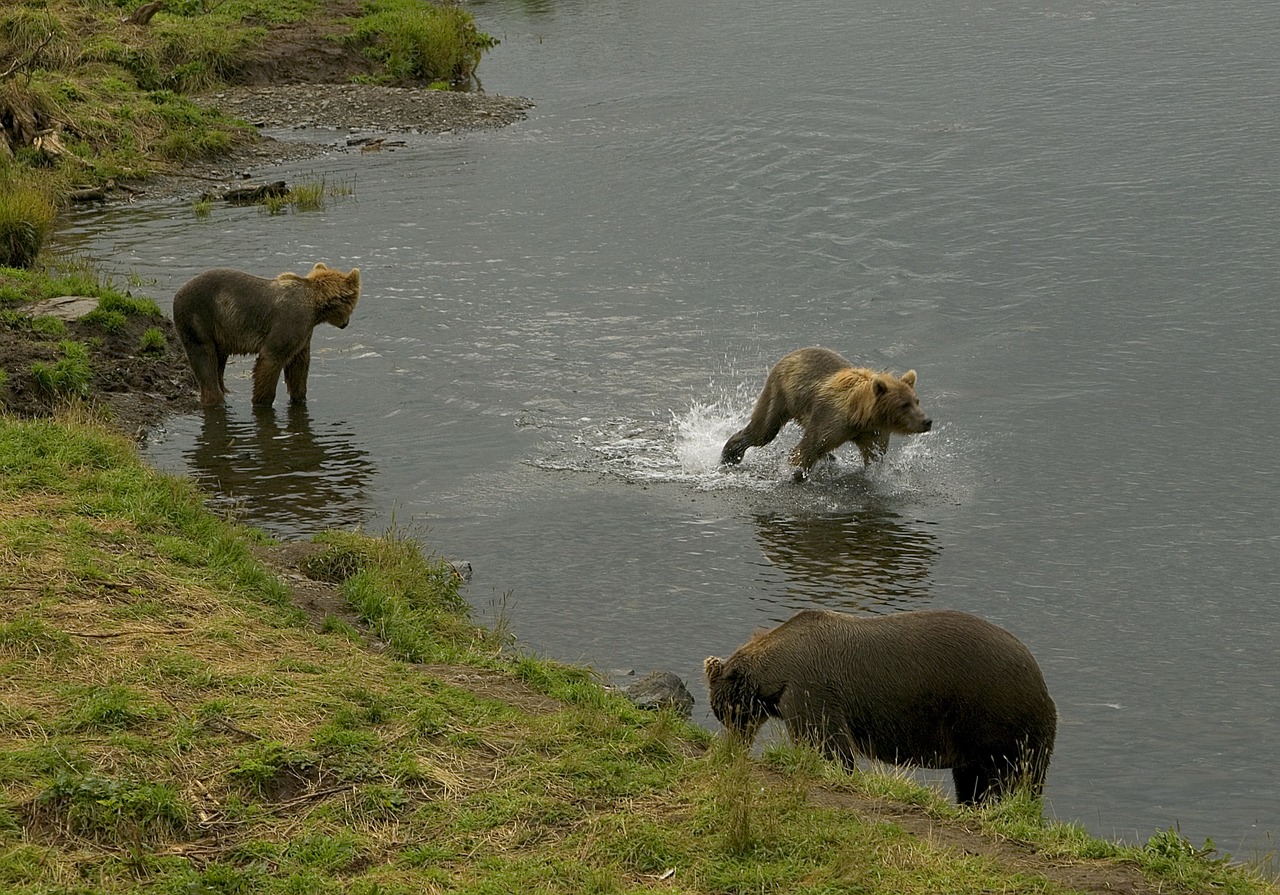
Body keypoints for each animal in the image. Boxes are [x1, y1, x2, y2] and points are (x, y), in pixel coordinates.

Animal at [172, 263, 363, 407]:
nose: (346, 323)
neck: (316, 309)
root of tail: (177, 293)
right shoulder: (290, 321)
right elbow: (271, 359)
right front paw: (261, 401)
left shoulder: (304, 333)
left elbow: (298, 366)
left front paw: (300, 398)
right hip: (198, 319)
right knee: (204, 360)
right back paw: (216, 399)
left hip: (218, 331)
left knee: (218, 363)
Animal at [706, 609, 1054, 804]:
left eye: (728, 713)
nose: (733, 743)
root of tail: (1040, 679)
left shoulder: (810, 691)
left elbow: (829, 746)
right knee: (976, 780)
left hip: (994, 716)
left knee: (1007, 777)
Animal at [721, 345, 931, 478]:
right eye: (904, 404)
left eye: (916, 401)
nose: (927, 421)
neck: (859, 415)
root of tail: (792, 353)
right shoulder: (831, 419)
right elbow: (807, 449)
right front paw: (794, 473)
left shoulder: (873, 432)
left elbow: (874, 456)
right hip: (779, 393)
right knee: (763, 430)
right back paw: (729, 455)